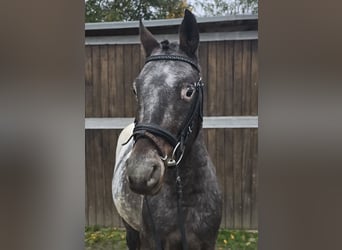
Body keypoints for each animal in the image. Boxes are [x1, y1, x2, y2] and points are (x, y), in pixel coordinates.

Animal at [112, 9, 222, 250]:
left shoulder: (207, 242)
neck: (184, 196)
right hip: (129, 227)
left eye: (189, 91)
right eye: (135, 90)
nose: (141, 173)